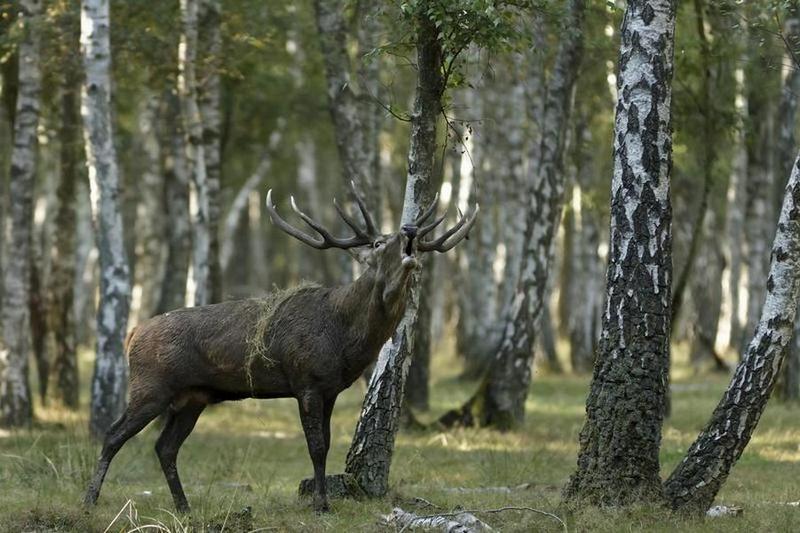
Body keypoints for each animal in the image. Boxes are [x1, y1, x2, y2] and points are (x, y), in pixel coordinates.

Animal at [82, 182, 477, 514]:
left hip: (192, 397)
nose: (410, 231)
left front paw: (322, 498)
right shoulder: (306, 380)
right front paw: (320, 505)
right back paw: (90, 500)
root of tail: (133, 333)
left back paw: (184, 506)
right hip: (151, 386)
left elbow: (327, 442)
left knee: (165, 447)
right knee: (113, 434)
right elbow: (316, 445)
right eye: (379, 243)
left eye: (416, 240)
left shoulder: (331, 389)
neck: (344, 339)